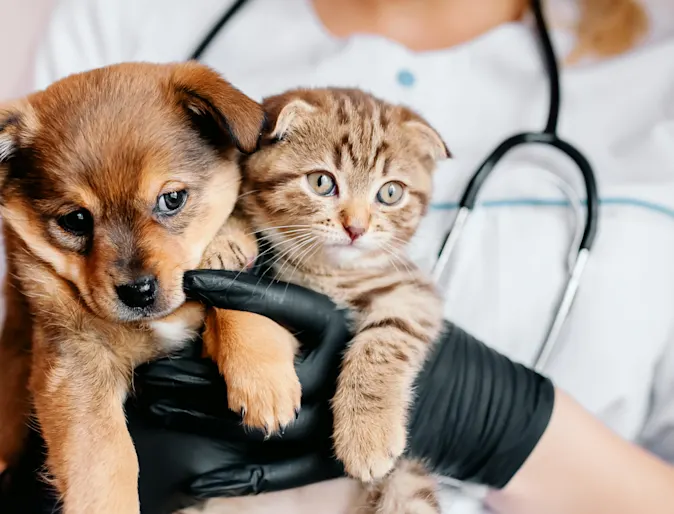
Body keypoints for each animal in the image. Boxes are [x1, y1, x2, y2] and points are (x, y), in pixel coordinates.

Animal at [0, 61, 266, 512]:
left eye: (172, 199)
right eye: (75, 220)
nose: (138, 292)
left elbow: (235, 290)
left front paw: (265, 381)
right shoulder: (76, 362)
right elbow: (106, 459)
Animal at [213, 89, 448, 512]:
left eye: (390, 193)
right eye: (322, 182)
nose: (356, 228)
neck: (326, 272)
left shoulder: (413, 290)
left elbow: (388, 337)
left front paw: (367, 433)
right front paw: (227, 237)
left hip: (408, 485)